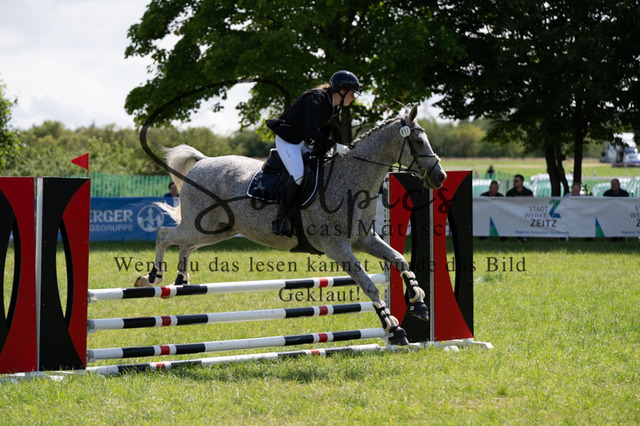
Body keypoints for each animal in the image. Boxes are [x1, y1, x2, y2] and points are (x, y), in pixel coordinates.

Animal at [136, 104, 446, 345]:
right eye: (419, 142)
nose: (440, 177)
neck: (350, 178)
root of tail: (203, 162)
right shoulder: (337, 247)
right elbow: (369, 285)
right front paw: (394, 328)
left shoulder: (364, 239)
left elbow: (400, 260)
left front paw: (419, 303)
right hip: (199, 225)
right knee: (165, 234)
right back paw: (152, 277)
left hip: (218, 229)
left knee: (186, 245)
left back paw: (181, 279)